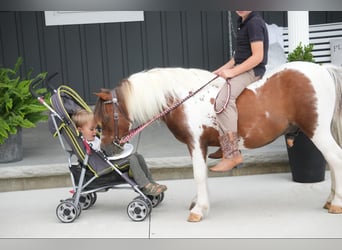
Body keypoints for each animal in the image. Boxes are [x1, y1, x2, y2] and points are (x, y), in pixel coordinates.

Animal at [94, 61, 342, 222]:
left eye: (104, 117)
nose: (105, 149)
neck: (184, 98)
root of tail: (323, 69)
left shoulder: (195, 143)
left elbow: (198, 174)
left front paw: (199, 210)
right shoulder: (201, 145)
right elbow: (203, 174)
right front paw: (199, 202)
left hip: (317, 132)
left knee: (335, 160)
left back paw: (337, 203)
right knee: (332, 163)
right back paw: (330, 200)